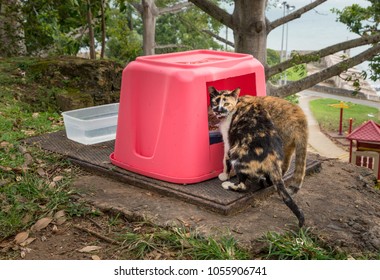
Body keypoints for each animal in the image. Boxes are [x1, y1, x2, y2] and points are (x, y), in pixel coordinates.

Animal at [209, 87, 308, 228]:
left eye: (226, 103)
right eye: (216, 102)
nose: (219, 110)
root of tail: (301, 117)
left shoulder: (229, 142)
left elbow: (225, 159)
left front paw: (225, 175)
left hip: (238, 152)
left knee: (244, 186)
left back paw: (228, 184)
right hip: (285, 146)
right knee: (282, 169)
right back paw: (264, 179)